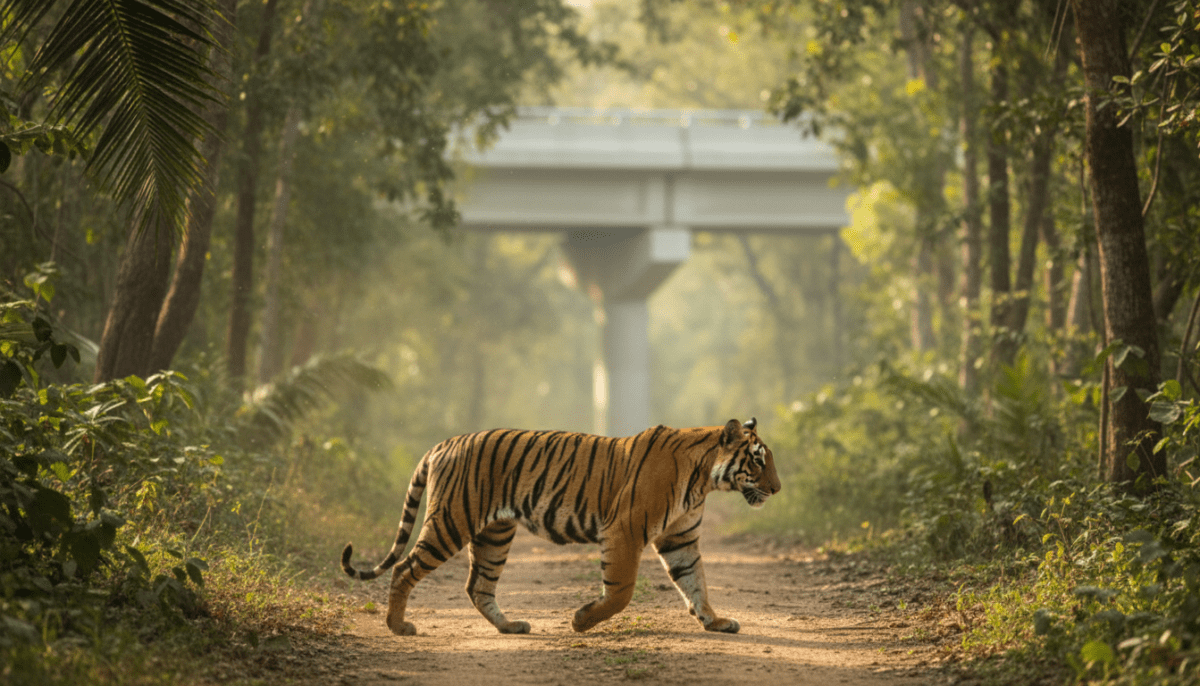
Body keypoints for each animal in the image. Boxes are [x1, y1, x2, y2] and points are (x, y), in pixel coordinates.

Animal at [340, 417, 780, 636]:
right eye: (758, 460)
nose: (777, 489)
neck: (705, 478)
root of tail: (444, 443)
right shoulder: (624, 529)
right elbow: (621, 592)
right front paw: (581, 621)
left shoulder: (680, 538)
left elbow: (696, 582)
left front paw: (714, 621)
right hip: (451, 519)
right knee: (404, 567)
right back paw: (398, 626)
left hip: (495, 534)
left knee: (478, 585)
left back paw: (510, 626)